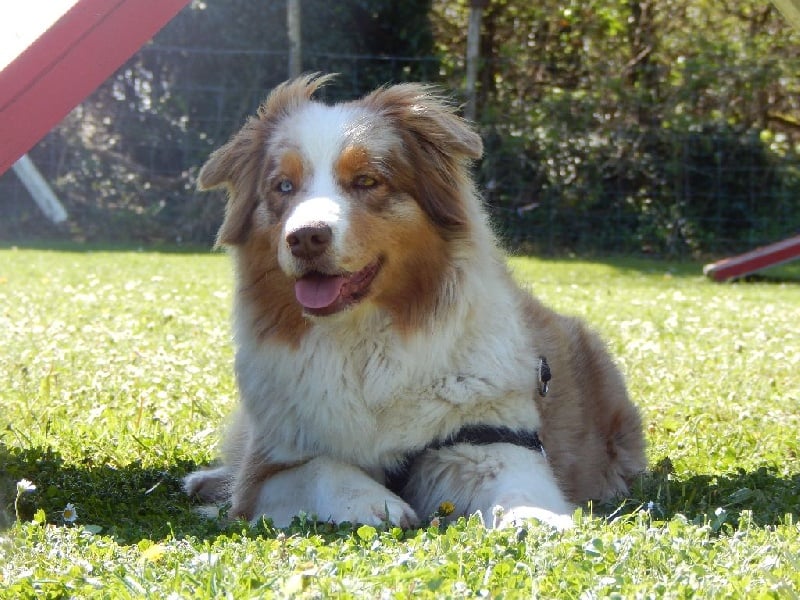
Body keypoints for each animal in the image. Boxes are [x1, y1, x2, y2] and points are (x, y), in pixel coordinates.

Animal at [184, 74, 646, 529]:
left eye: (366, 181)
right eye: (283, 186)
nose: (305, 237)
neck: (363, 344)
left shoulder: (487, 439)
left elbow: (519, 487)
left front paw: (537, 519)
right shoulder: (269, 468)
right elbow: (321, 468)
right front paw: (374, 501)